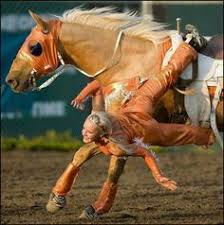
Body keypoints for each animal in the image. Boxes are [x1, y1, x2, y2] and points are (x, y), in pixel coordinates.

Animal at [5, 6, 224, 218]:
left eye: (34, 47)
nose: (11, 79)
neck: (130, 64)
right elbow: (81, 154)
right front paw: (57, 198)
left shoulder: (120, 127)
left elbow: (112, 165)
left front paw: (96, 207)